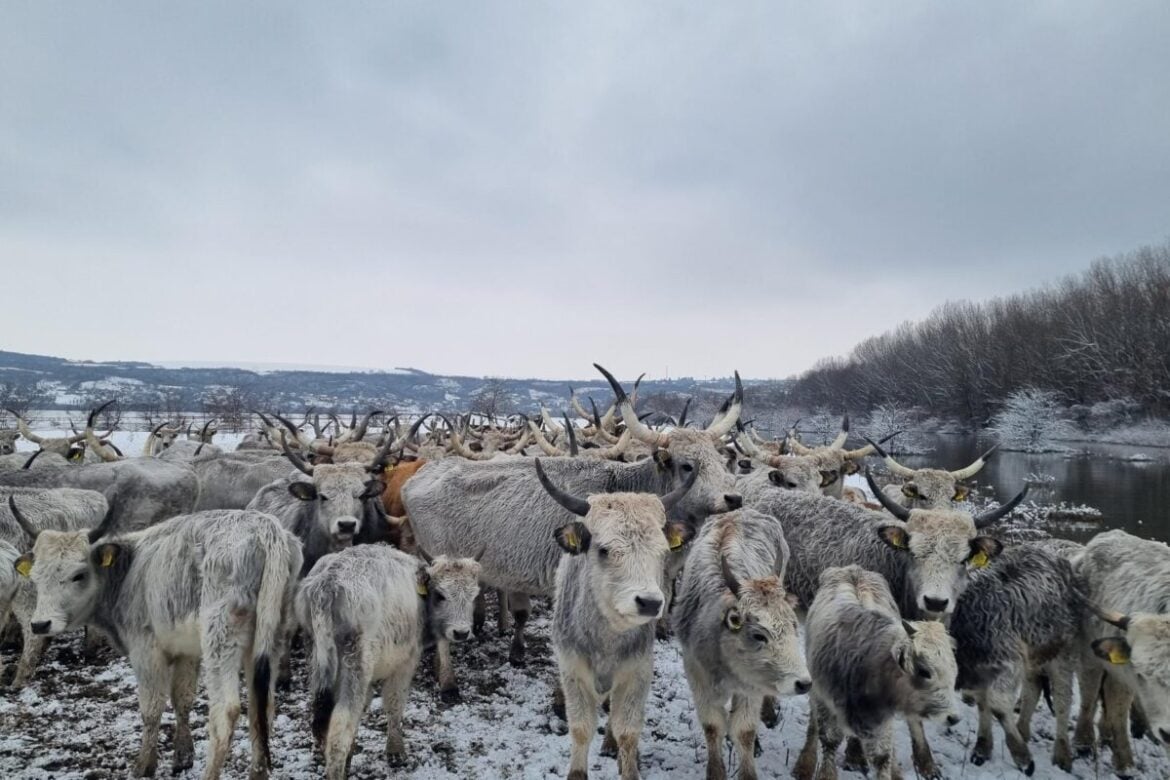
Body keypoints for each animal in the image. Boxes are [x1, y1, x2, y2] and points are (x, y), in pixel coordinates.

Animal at [12, 509, 301, 776]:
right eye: (35, 577)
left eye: (78, 575)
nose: (40, 624)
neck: (128, 571)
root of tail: (265, 529)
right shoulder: (187, 653)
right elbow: (182, 699)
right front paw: (182, 756)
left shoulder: (146, 652)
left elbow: (151, 708)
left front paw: (144, 765)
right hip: (268, 641)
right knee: (262, 706)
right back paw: (258, 772)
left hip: (220, 643)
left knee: (226, 712)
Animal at [299, 547, 482, 776]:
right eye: (441, 595)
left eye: (474, 596)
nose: (461, 632)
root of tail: (328, 584)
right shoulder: (405, 663)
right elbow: (394, 703)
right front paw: (395, 751)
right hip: (356, 669)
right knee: (338, 731)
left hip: (319, 663)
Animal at [535, 458, 692, 780]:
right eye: (604, 549)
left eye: (661, 551)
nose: (650, 602)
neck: (607, 635)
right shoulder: (573, 670)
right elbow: (581, 728)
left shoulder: (637, 672)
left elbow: (627, 731)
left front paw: (627, 763)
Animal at [673, 507, 809, 780]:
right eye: (759, 635)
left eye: (793, 626)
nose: (803, 683)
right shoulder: (697, 674)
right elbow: (713, 725)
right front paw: (715, 771)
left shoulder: (751, 687)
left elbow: (744, 731)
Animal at [795, 568, 959, 780]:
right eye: (924, 671)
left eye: (954, 673)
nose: (953, 718)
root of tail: (851, 569)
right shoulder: (826, 702)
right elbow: (829, 741)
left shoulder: (882, 721)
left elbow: (883, 756)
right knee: (814, 725)